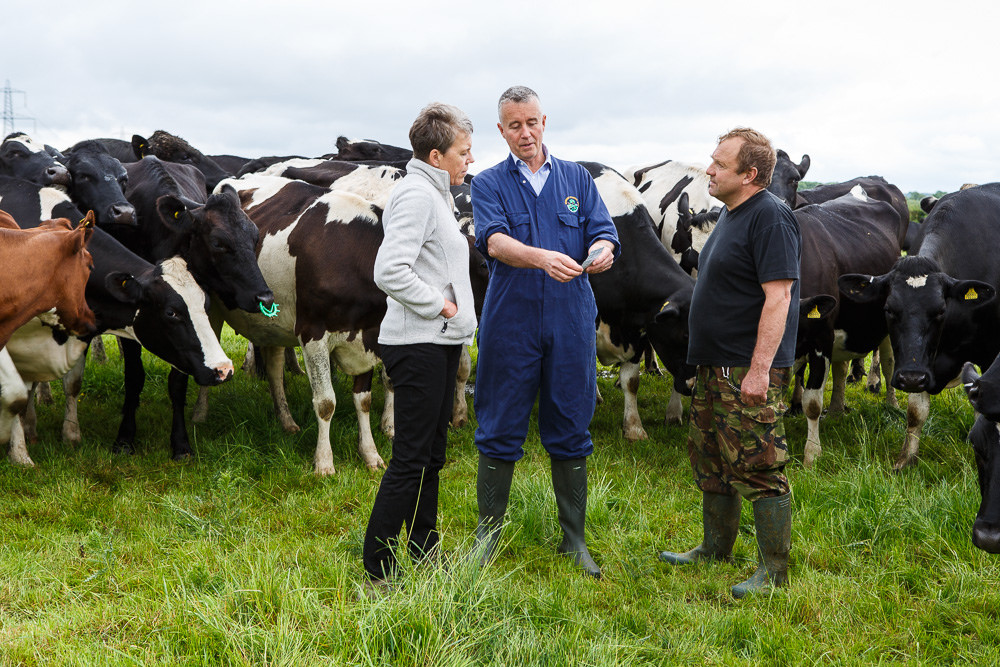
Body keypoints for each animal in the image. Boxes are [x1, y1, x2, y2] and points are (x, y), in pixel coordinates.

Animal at [836, 185, 1000, 472]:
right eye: (888, 309)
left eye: (941, 310)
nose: (910, 378)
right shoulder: (921, 363)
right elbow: (915, 412)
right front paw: (906, 459)